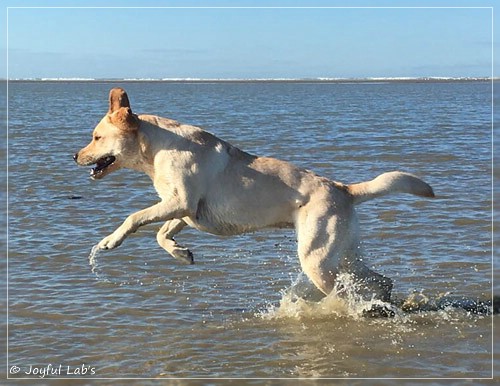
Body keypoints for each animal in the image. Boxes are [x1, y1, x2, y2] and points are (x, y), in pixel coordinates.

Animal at [73, 87, 434, 302]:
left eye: (96, 137)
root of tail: (344, 189)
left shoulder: (180, 201)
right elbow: (162, 233)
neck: (159, 147)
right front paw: (181, 253)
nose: (74, 156)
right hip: (343, 252)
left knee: (349, 290)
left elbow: (134, 217)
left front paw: (110, 240)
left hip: (316, 258)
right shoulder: (185, 210)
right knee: (381, 281)